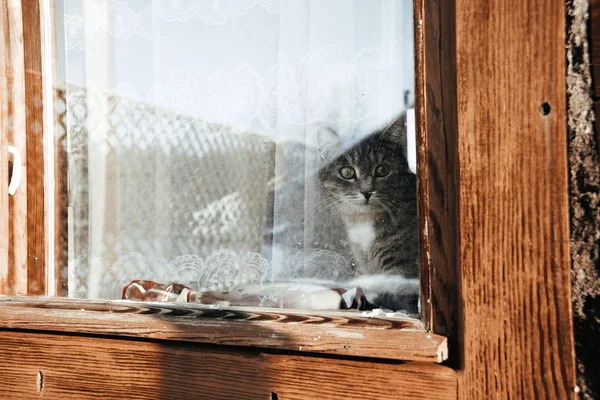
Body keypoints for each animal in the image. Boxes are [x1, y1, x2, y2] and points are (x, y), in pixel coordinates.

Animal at [316, 113, 420, 312]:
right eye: (347, 172)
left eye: (382, 170)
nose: (367, 191)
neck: (363, 223)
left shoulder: (401, 266)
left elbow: (400, 296)